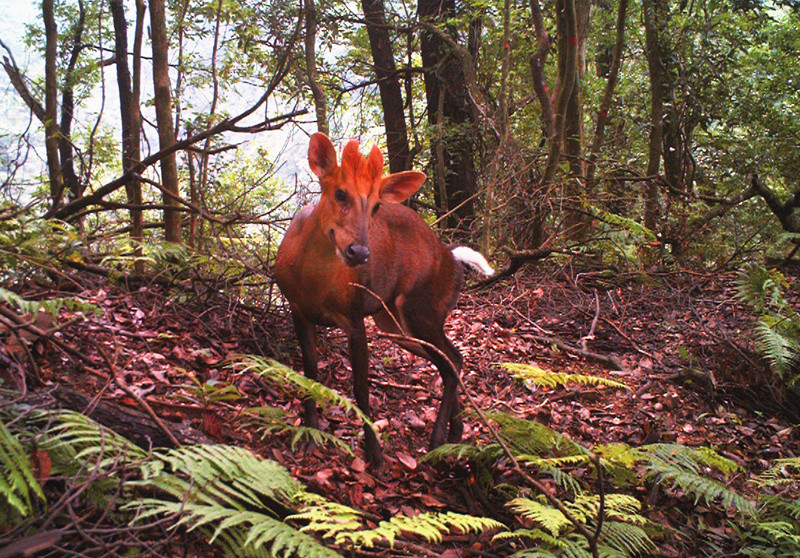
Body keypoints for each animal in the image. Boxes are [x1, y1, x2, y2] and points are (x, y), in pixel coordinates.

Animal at [274, 133, 494, 470]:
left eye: (377, 205)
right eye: (340, 193)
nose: (359, 253)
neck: (314, 282)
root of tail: (454, 260)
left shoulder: (353, 315)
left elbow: (361, 388)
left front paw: (375, 455)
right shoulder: (297, 309)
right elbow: (309, 371)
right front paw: (310, 434)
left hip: (422, 309)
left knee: (454, 358)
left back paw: (436, 442)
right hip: (394, 323)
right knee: (447, 361)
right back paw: (454, 435)